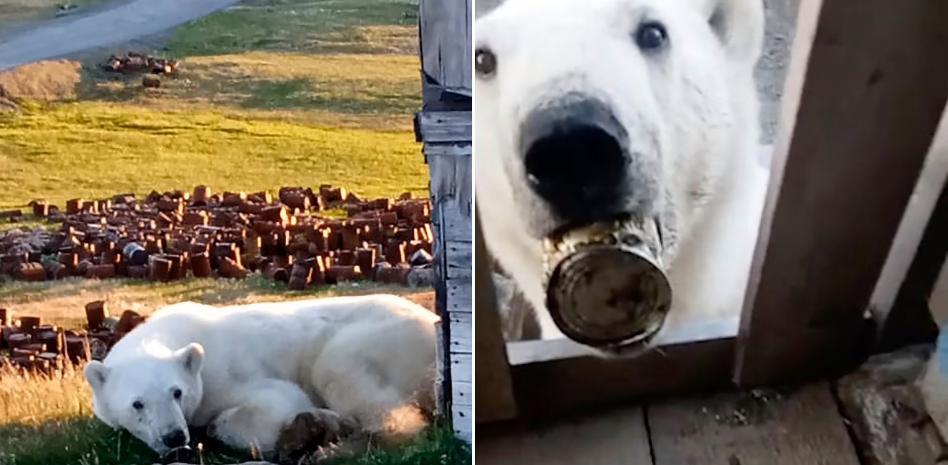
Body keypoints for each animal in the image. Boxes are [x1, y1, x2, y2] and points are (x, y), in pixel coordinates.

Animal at [83, 294, 438, 458]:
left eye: (177, 392)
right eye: (137, 404)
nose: (174, 437)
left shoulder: (227, 373)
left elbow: (279, 401)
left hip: (378, 338)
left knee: (341, 372)